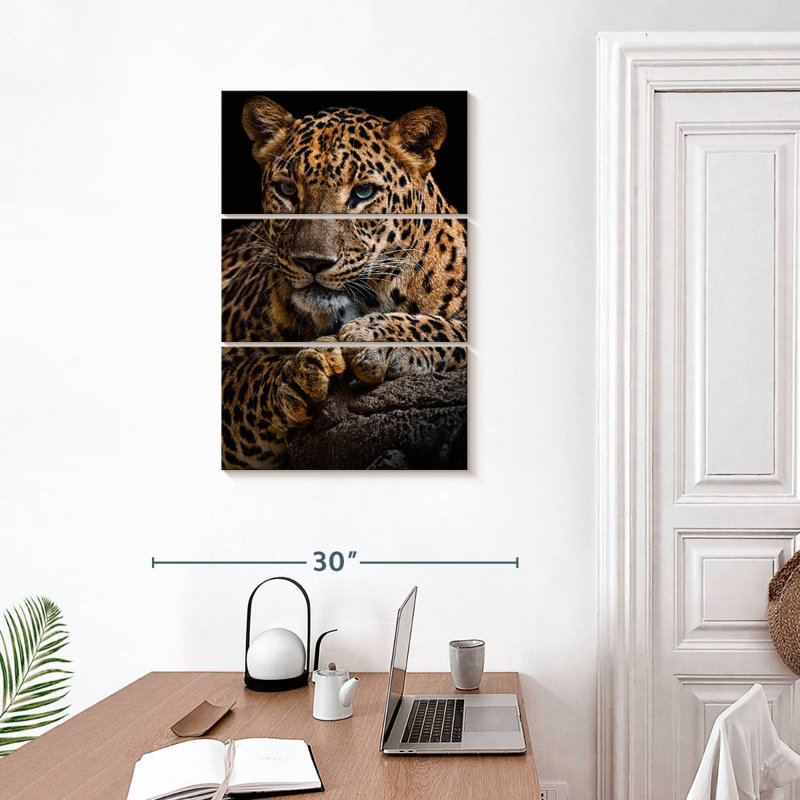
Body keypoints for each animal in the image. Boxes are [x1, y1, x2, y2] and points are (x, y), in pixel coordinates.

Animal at [221, 96, 467, 469]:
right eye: (287, 189)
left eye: (363, 192)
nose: (312, 261)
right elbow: (245, 378)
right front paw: (295, 375)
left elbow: (446, 328)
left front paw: (375, 337)